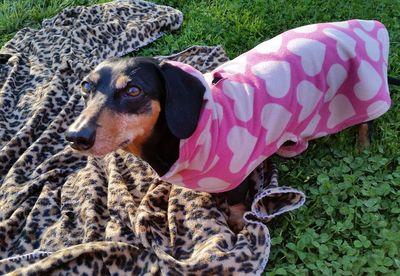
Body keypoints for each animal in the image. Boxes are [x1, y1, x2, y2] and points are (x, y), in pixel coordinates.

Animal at [67, 20, 392, 231]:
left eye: (133, 90)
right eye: (85, 86)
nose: (75, 137)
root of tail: (369, 25)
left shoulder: (238, 174)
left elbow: (236, 202)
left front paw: (237, 224)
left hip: (366, 90)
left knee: (366, 121)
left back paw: (363, 145)